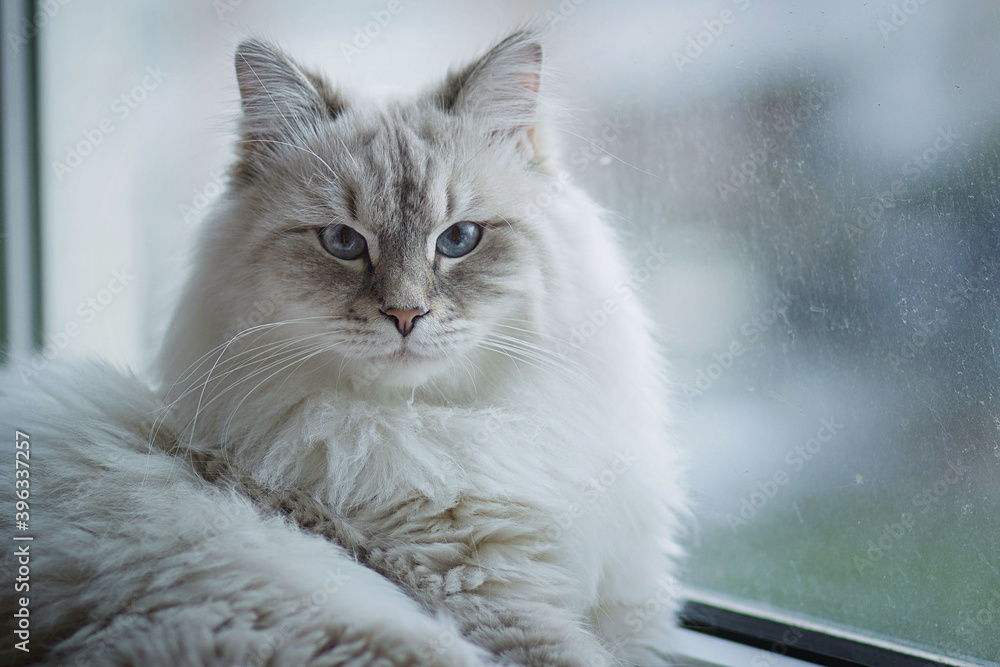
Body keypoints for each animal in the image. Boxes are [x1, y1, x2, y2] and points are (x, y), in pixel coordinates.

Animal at [0, 28, 688, 664]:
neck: (424, 434)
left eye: (459, 239)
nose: (406, 314)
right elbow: (569, 649)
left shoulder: (631, 613)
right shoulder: (490, 602)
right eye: (343, 242)